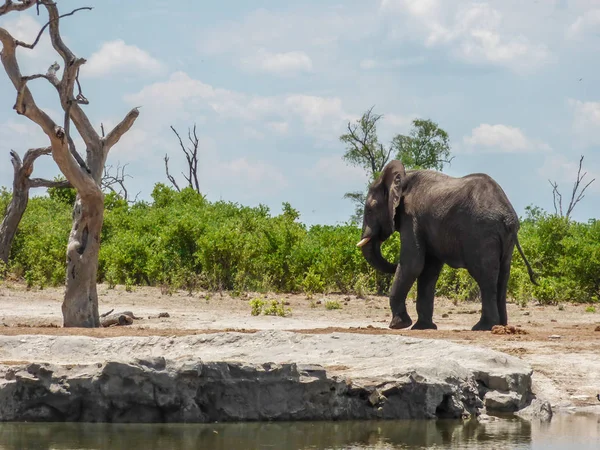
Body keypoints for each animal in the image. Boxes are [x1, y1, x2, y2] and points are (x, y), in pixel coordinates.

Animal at [356, 161, 540, 330]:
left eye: (370, 210)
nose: (393, 264)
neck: (403, 177)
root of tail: (508, 217)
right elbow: (428, 270)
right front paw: (423, 327)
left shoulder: (411, 217)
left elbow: (413, 264)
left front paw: (399, 325)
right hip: (505, 240)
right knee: (503, 275)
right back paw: (500, 326)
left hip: (482, 234)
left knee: (484, 275)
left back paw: (483, 327)